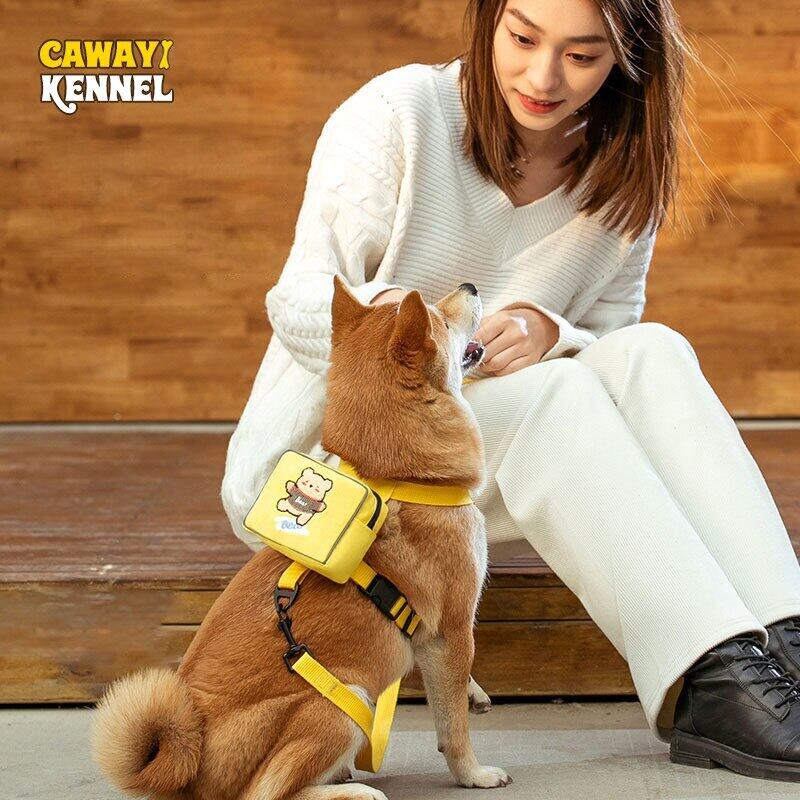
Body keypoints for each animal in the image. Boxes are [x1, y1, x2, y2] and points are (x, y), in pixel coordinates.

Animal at [91, 275, 510, 800]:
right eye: (443, 319)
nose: (470, 285)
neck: (399, 478)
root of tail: (191, 767)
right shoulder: (451, 627)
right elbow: (453, 729)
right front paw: (473, 774)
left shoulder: (435, 641)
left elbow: (453, 691)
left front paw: (472, 692)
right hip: (342, 700)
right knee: (267, 792)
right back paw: (349, 790)